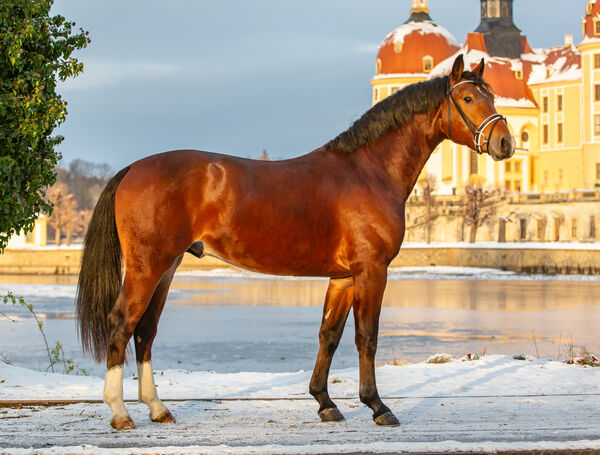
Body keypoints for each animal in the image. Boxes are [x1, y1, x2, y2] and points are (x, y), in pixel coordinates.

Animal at [76, 55, 516, 430]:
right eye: (467, 97)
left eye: (492, 94)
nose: (505, 143)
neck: (367, 171)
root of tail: (134, 168)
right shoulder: (371, 270)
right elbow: (366, 337)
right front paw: (378, 406)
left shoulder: (343, 277)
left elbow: (329, 335)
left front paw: (325, 402)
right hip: (147, 268)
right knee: (121, 323)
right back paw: (119, 413)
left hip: (166, 268)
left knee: (145, 331)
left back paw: (157, 408)